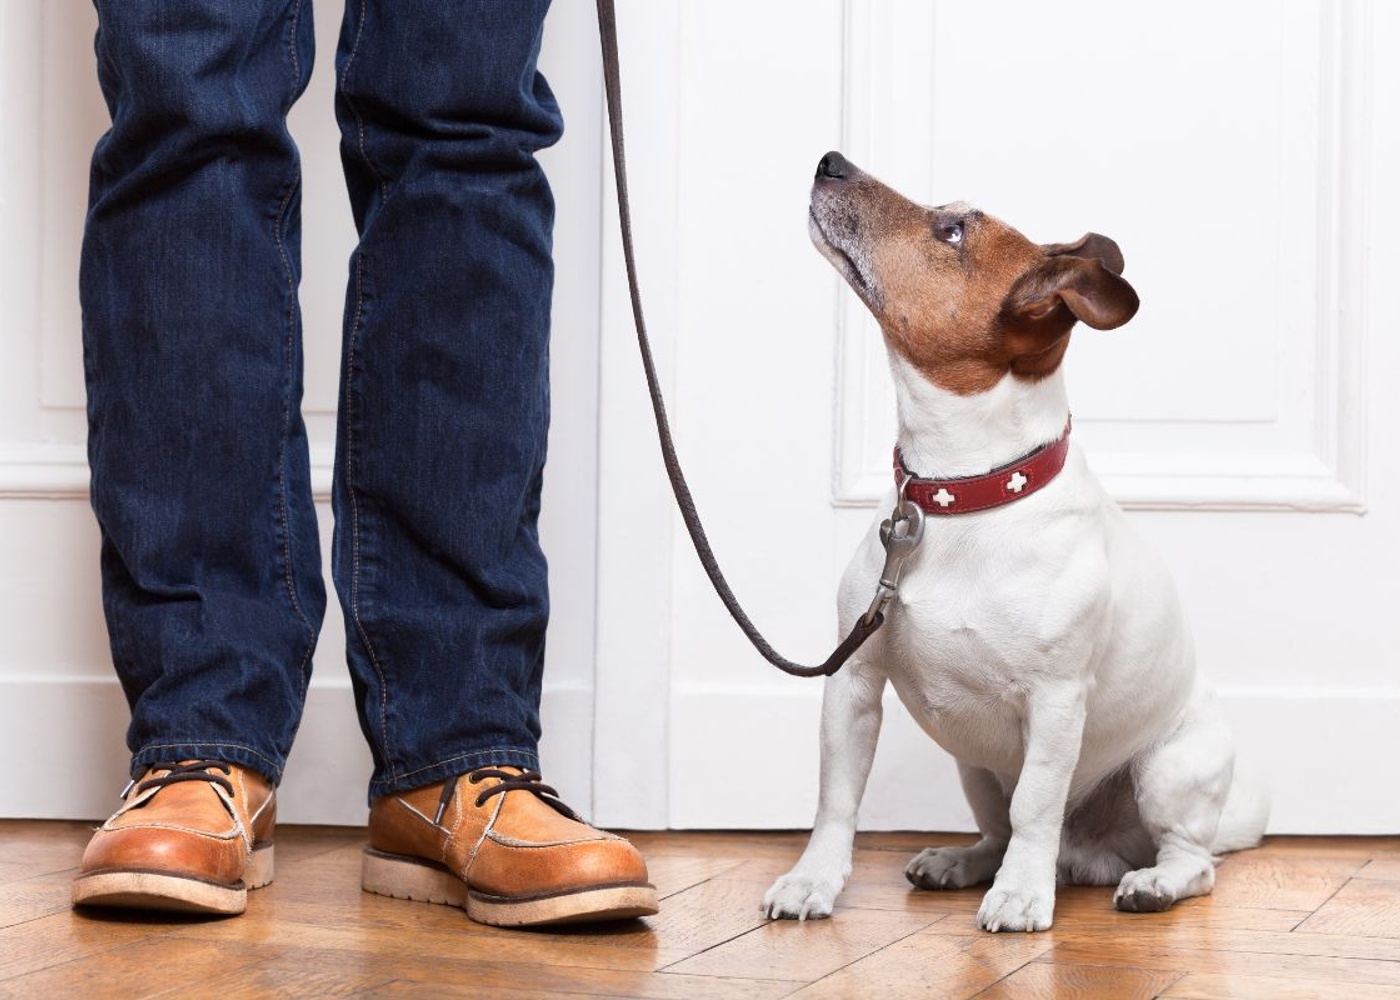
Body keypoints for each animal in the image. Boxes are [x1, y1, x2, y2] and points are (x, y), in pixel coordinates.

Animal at [767, 151, 1271, 929]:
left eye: (950, 232)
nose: (831, 160)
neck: (962, 494)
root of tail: (1093, 855)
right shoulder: (853, 683)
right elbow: (836, 799)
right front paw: (812, 881)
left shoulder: (1057, 702)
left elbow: (1037, 805)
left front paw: (1022, 895)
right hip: (975, 767)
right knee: (997, 828)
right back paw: (964, 862)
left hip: (1167, 772)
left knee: (1189, 859)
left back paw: (1144, 882)